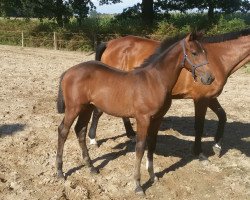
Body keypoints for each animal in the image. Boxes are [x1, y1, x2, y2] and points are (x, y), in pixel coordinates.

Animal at [57, 32, 214, 194]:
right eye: (194, 53)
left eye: (205, 52)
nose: (209, 78)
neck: (155, 80)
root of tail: (68, 72)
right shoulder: (143, 119)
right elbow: (140, 147)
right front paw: (138, 185)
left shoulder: (157, 118)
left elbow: (152, 144)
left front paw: (152, 176)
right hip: (73, 108)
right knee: (63, 130)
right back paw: (60, 172)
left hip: (86, 108)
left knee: (80, 131)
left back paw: (91, 167)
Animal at [89, 28, 250, 158]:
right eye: (194, 53)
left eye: (205, 52)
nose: (209, 78)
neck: (220, 58)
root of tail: (110, 43)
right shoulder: (201, 99)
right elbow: (199, 125)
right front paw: (199, 152)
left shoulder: (210, 97)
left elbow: (223, 115)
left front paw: (217, 146)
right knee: (97, 112)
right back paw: (93, 139)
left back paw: (131, 134)